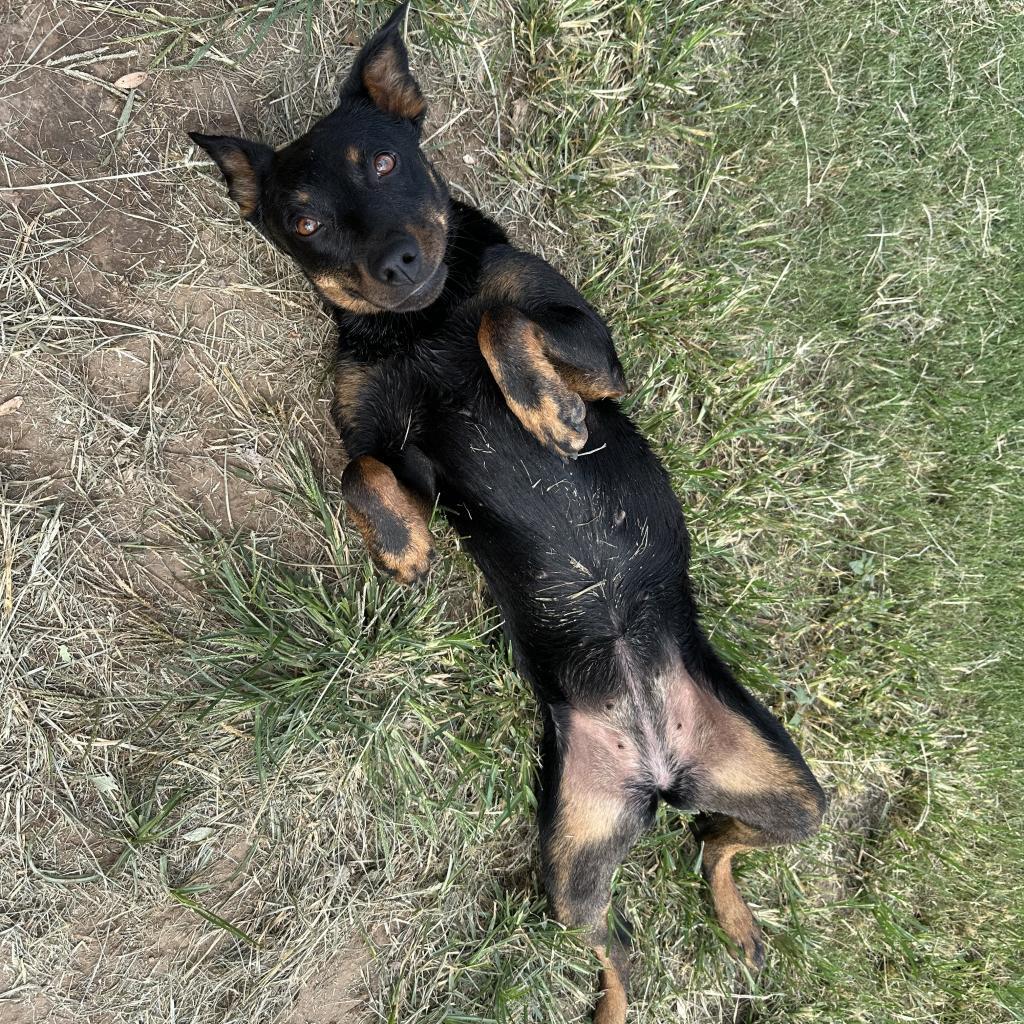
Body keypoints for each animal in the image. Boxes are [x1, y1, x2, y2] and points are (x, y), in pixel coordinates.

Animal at [190, 6, 823, 1015]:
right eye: (304, 220)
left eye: (384, 161)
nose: (396, 261)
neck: (420, 324)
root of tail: (661, 771)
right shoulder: (392, 443)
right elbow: (358, 469)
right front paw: (403, 546)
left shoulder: (596, 352)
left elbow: (502, 321)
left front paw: (547, 412)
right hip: (573, 863)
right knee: (628, 932)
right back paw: (631, 993)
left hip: (797, 797)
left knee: (715, 845)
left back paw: (734, 921)